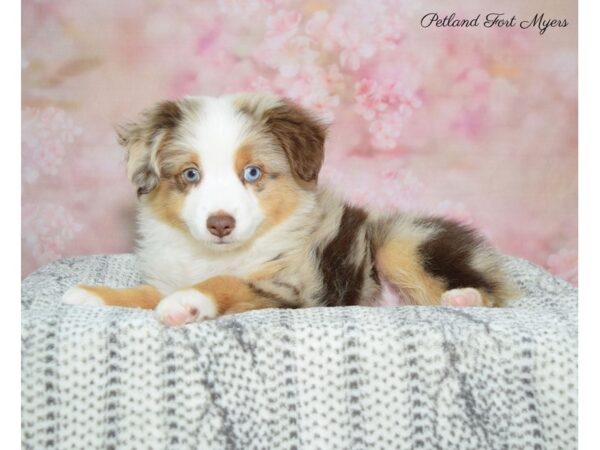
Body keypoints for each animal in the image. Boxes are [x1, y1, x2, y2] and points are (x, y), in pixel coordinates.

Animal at [63, 93, 516, 326]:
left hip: (402, 240)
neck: (214, 254)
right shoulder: (169, 273)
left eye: (252, 172)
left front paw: (187, 303)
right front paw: (94, 295)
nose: (220, 224)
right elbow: (143, 292)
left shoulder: (292, 287)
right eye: (191, 174)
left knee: (494, 296)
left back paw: (462, 298)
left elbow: (226, 282)